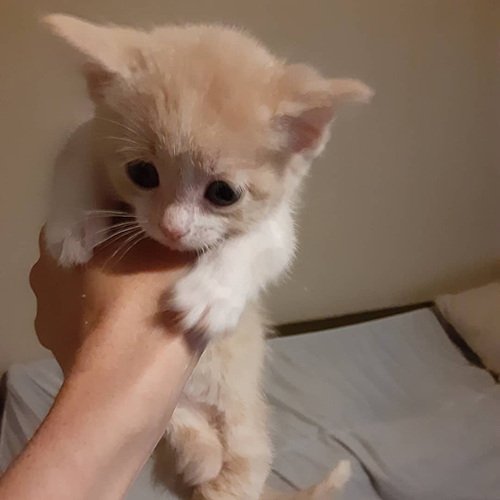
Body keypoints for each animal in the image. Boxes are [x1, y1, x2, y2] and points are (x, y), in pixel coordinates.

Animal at [44, 13, 372, 498]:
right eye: (141, 172)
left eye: (223, 193)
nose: (173, 227)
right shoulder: (90, 132)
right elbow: (75, 151)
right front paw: (73, 225)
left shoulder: (278, 224)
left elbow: (257, 244)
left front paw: (212, 293)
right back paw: (197, 452)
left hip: (243, 442)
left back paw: (208, 460)